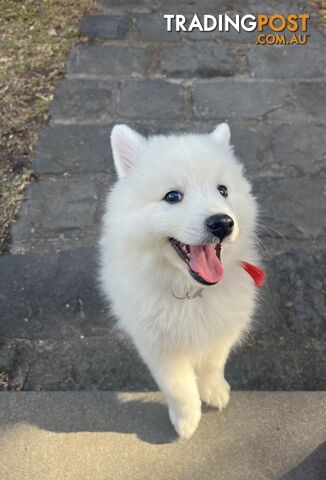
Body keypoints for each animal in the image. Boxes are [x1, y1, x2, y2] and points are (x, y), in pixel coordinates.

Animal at [99, 123, 262, 438]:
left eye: (223, 190)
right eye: (173, 196)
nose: (223, 223)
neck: (189, 291)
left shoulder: (221, 330)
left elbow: (213, 364)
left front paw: (215, 392)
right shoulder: (159, 346)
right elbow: (179, 388)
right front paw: (186, 422)